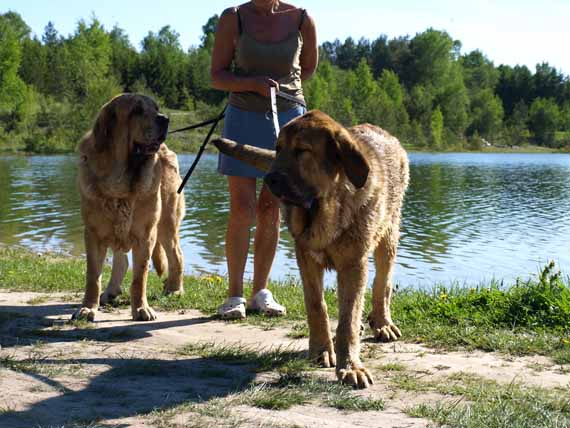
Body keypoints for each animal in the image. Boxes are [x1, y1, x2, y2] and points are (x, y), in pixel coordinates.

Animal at [72, 93, 185, 320]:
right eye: (137, 110)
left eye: (156, 108)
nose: (165, 118)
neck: (121, 181)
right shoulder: (93, 234)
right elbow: (93, 276)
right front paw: (88, 307)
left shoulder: (145, 235)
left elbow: (139, 278)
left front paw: (142, 309)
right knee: (121, 260)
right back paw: (111, 291)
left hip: (166, 224)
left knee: (176, 255)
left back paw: (174, 289)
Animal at [211, 110, 406, 388]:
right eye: (278, 148)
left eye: (302, 150)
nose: (270, 179)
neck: (324, 207)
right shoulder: (306, 258)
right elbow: (317, 306)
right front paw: (321, 350)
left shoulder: (353, 263)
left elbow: (348, 319)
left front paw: (350, 366)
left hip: (388, 237)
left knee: (383, 285)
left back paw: (382, 323)